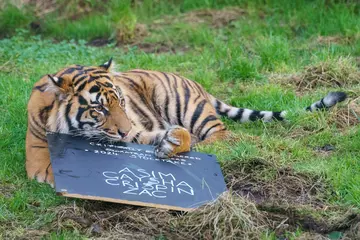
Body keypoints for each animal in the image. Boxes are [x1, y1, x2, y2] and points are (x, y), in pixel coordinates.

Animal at [25, 58, 346, 186]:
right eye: (99, 109)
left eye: (121, 102)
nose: (125, 131)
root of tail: (197, 83)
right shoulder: (39, 157)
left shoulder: (139, 131)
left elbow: (177, 138)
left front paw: (174, 144)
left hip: (184, 104)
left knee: (222, 134)